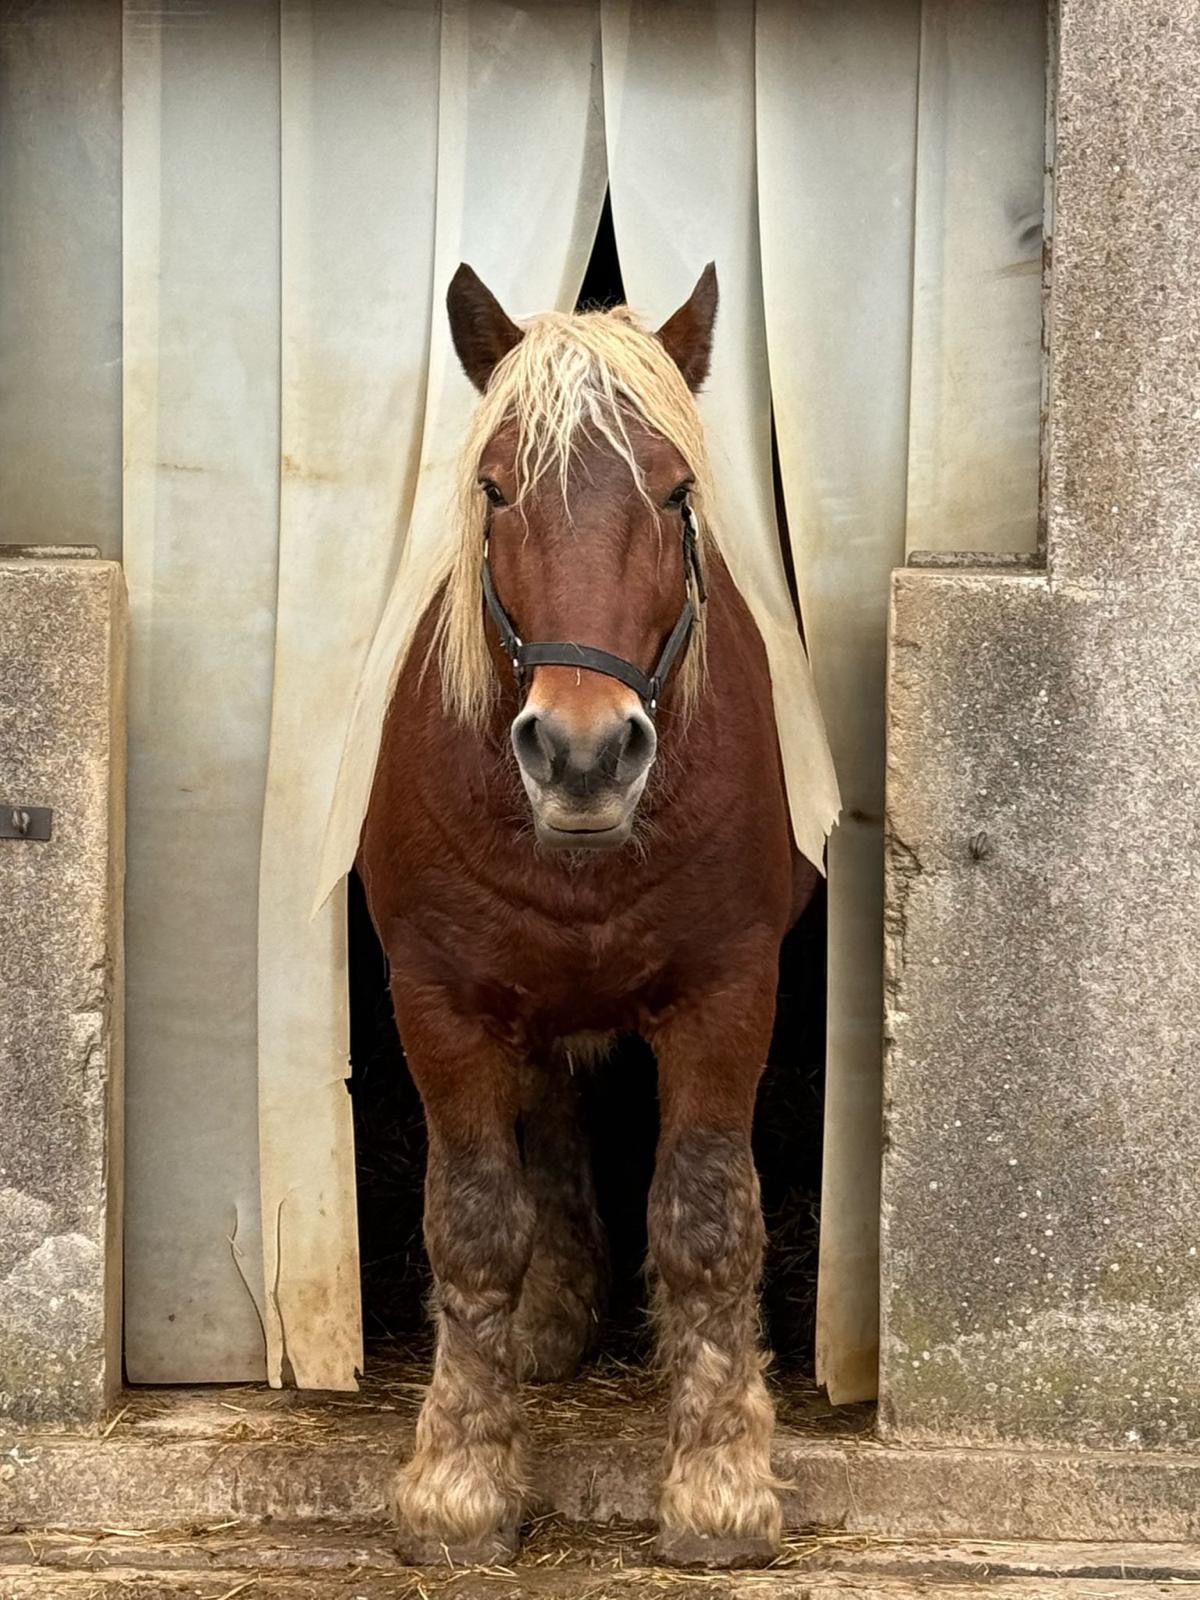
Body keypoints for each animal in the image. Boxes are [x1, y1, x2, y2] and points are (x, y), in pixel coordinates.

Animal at [359, 262, 818, 1568]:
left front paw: (720, 1482)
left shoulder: (729, 994)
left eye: (676, 493)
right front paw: (458, 1479)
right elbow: (473, 1223)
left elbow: (708, 1220)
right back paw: (553, 1316)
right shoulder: (442, 1004)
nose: (581, 754)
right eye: (494, 486)